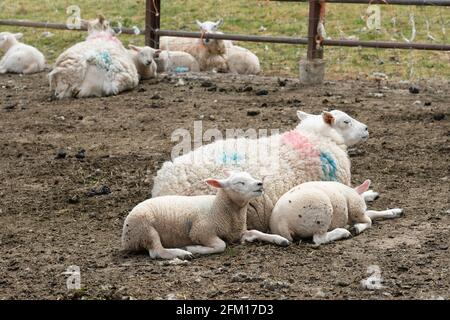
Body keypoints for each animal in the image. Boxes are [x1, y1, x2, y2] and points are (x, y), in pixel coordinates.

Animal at [121, 170, 288, 260]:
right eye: (239, 182)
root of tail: (125, 238)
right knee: (156, 251)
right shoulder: (200, 232)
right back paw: (182, 253)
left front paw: (280, 239)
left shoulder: (237, 232)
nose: (260, 184)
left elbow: (256, 232)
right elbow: (221, 245)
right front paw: (194, 248)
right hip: (145, 229)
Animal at [268, 180, 402, 245]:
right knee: (318, 239)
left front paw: (397, 211)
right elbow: (369, 221)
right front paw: (356, 228)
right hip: (321, 211)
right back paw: (343, 232)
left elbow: (372, 213)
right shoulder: (356, 209)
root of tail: (282, 223)